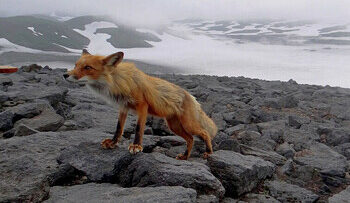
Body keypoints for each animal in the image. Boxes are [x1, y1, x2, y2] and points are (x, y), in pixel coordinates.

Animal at [67, 49, 217, 160]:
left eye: (87, 67)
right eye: (75, 65)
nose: (65, 75)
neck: (121, 83)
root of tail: (191, 96)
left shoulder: (142, 106)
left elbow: (139, 129)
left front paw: (136, 146)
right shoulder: (123, 107)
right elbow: (119, 128)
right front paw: (112, 143)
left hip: (188, 124)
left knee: (204, 133)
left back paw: (208, 152)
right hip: (174, 126)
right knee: (191, 139)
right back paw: (185, 156)